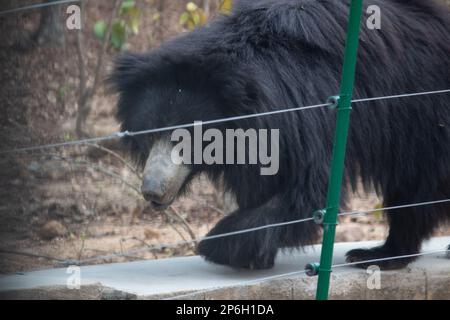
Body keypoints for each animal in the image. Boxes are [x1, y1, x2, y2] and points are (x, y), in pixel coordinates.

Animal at [110, 0, 450, 270]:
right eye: (149, 135)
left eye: (189, 139)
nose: (152, 191)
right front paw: (252, 255)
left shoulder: (305, 113)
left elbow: (302, 188)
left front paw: (220, 246)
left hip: (423, 119)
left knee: (416, 189)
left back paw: (376, 255)